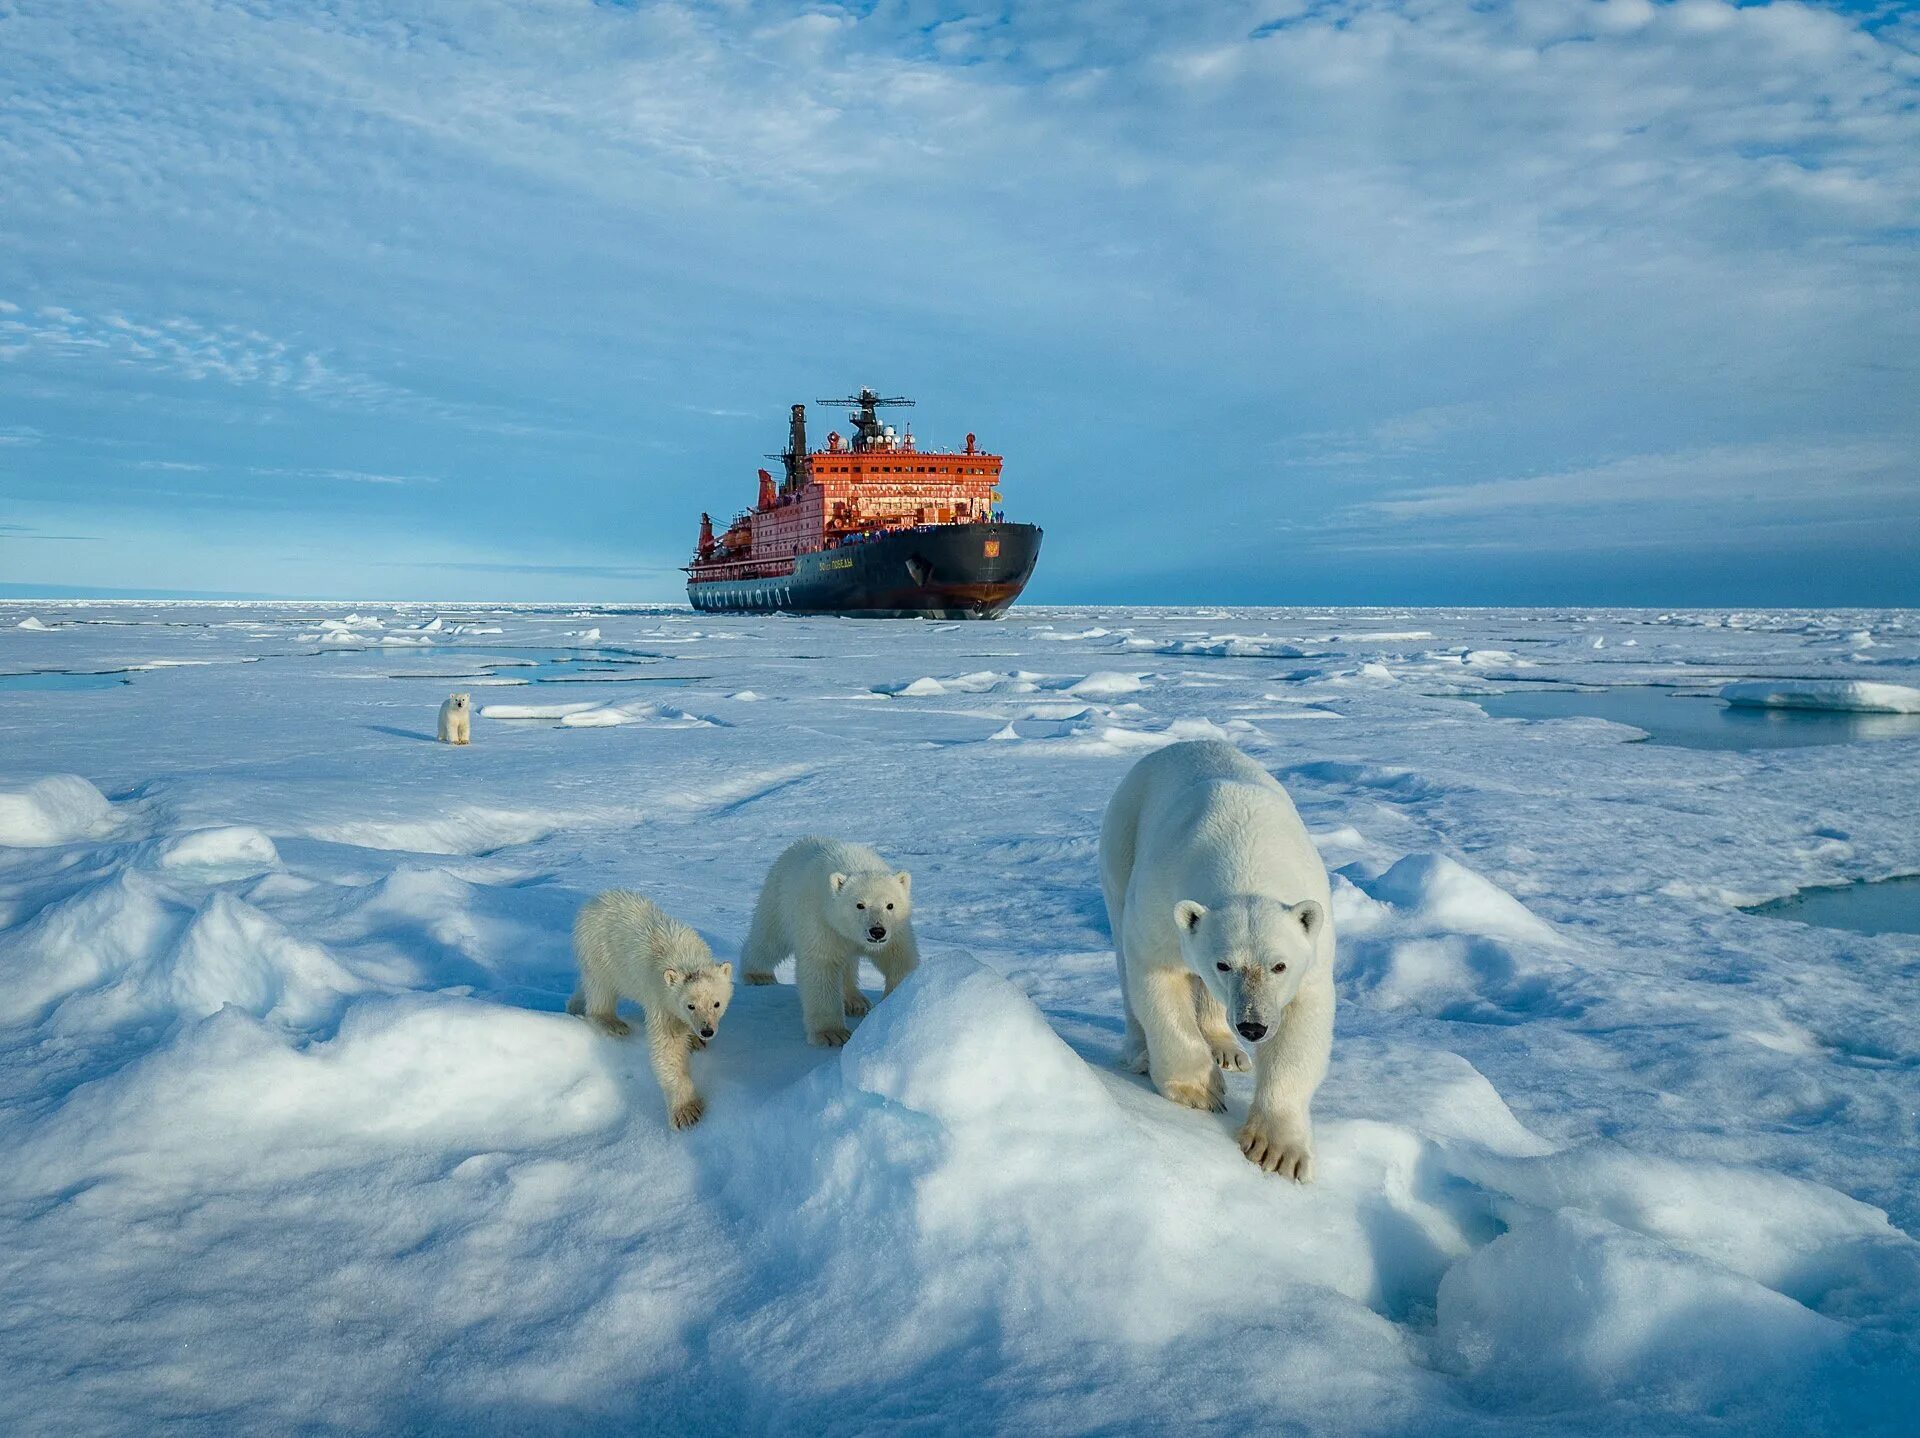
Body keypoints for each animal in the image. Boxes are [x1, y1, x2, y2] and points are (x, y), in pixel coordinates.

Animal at [568, 886, 733, 1136]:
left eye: (716, 1003)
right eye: (690, 1005)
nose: (706, 1031)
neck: (686, 956)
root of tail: (594, 901)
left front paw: (695, 1040)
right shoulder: (661, 998)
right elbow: (668, 1048)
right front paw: (687, 1112)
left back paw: (573, 1005)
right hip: (599, 953)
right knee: (600, 990)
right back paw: (612, 1023)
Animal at [741, 829, 913, 1044]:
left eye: (890, 905)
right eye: (860, 905)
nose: (877, 931)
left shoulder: (895, 931)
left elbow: (899, 960)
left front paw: (893, 1005)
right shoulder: (821, 921)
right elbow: (821, 967)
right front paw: (832, 1034)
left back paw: (855, 1001)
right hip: (778, 898)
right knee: (769, 939)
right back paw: (758, 974)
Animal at [1098, 741, 1336, 1174]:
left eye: (1279, 965)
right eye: (1223, 964)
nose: (1253, 1026)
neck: (1245, 857)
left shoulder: (1313, 945)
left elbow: (1302, 1020)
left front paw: (1276, 1149)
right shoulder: (1162, 895)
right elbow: (1156, 974)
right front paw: (1200, 1090)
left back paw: (1227, 1049)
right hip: (1121, 841)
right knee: (1124, 958)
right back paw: (1141, 1052)